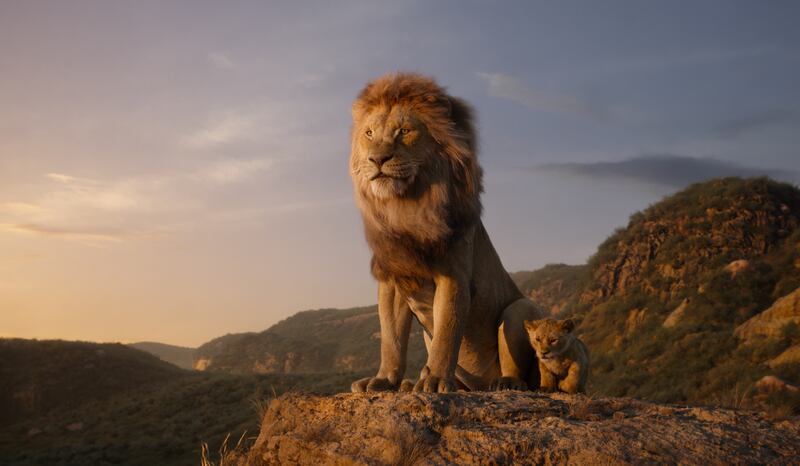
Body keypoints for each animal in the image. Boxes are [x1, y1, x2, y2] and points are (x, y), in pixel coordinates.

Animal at [348, 72, 546, 393]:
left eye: (404, 131)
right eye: (369, 133)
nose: (377, 159)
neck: (406, 206)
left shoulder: (453, 275)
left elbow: (446, 332)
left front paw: (436, 380)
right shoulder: (393, 279)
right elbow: (391, 339)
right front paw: (384, 380)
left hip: (519, 308)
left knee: (520, 370)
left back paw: (504, 383)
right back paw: (412, 384)